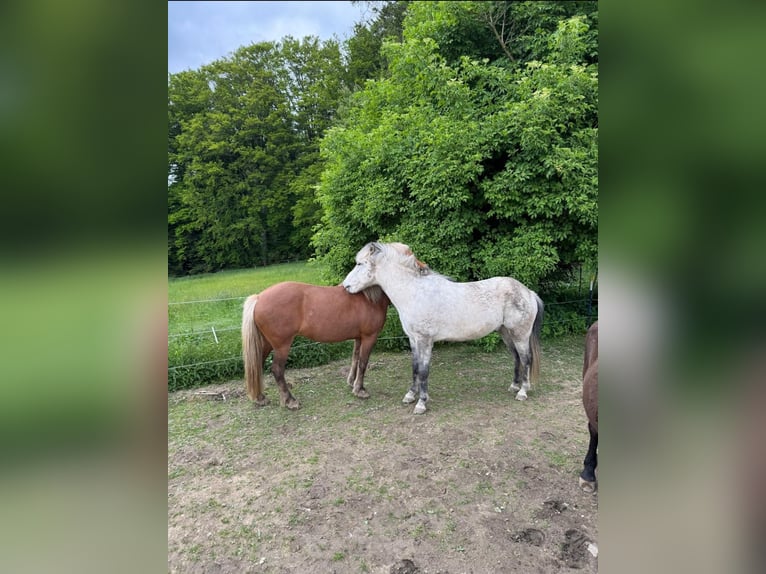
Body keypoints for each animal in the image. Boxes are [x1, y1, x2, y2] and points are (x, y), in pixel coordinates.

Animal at [241, 282, 390, 409]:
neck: (369, 299)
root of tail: (259, 298)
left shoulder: (359, 338)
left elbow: (355, 359)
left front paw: (351, 382)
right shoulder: (369, 337)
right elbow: (363, 363)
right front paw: (360, 390)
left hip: (266, 344)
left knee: (257, 366)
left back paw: (260, 398)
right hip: (282, 346)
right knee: (277, 369)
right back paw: (290, 401)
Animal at [342, 242, 544, 414]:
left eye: (360, 264)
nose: (345, 286)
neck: (414, 293)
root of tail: (528, 292)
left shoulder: (425, 340)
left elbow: (424, 370)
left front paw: (421, 404)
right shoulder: (413, 339)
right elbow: (415, 368)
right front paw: (410, 395)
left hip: (520, 335)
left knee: (526, 359)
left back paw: (523, 392)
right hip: (506, 333)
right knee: (516, 357)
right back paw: (514, 386)